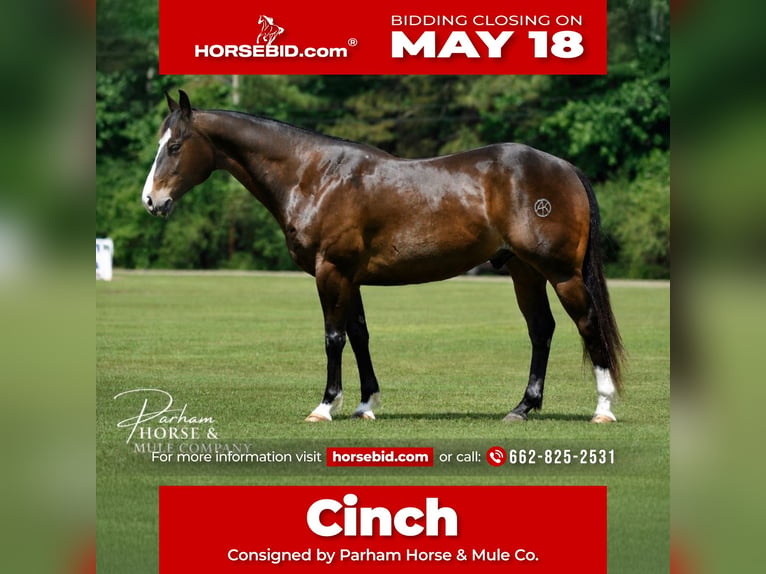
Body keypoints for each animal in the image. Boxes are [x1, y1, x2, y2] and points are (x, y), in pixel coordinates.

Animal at [142, 90, 624, 423]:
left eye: (175, 145)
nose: (151, 200)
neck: (315, 175)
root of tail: (564, 167)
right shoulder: (349, 277)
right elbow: (359, 335)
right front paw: (365, 404)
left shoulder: (331, 272)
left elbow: (334, 337)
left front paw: (325, 406)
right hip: (525, 272)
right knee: (541, 329)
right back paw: (522, 407)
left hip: (561, 274)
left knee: (587, 323)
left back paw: (602, 408)